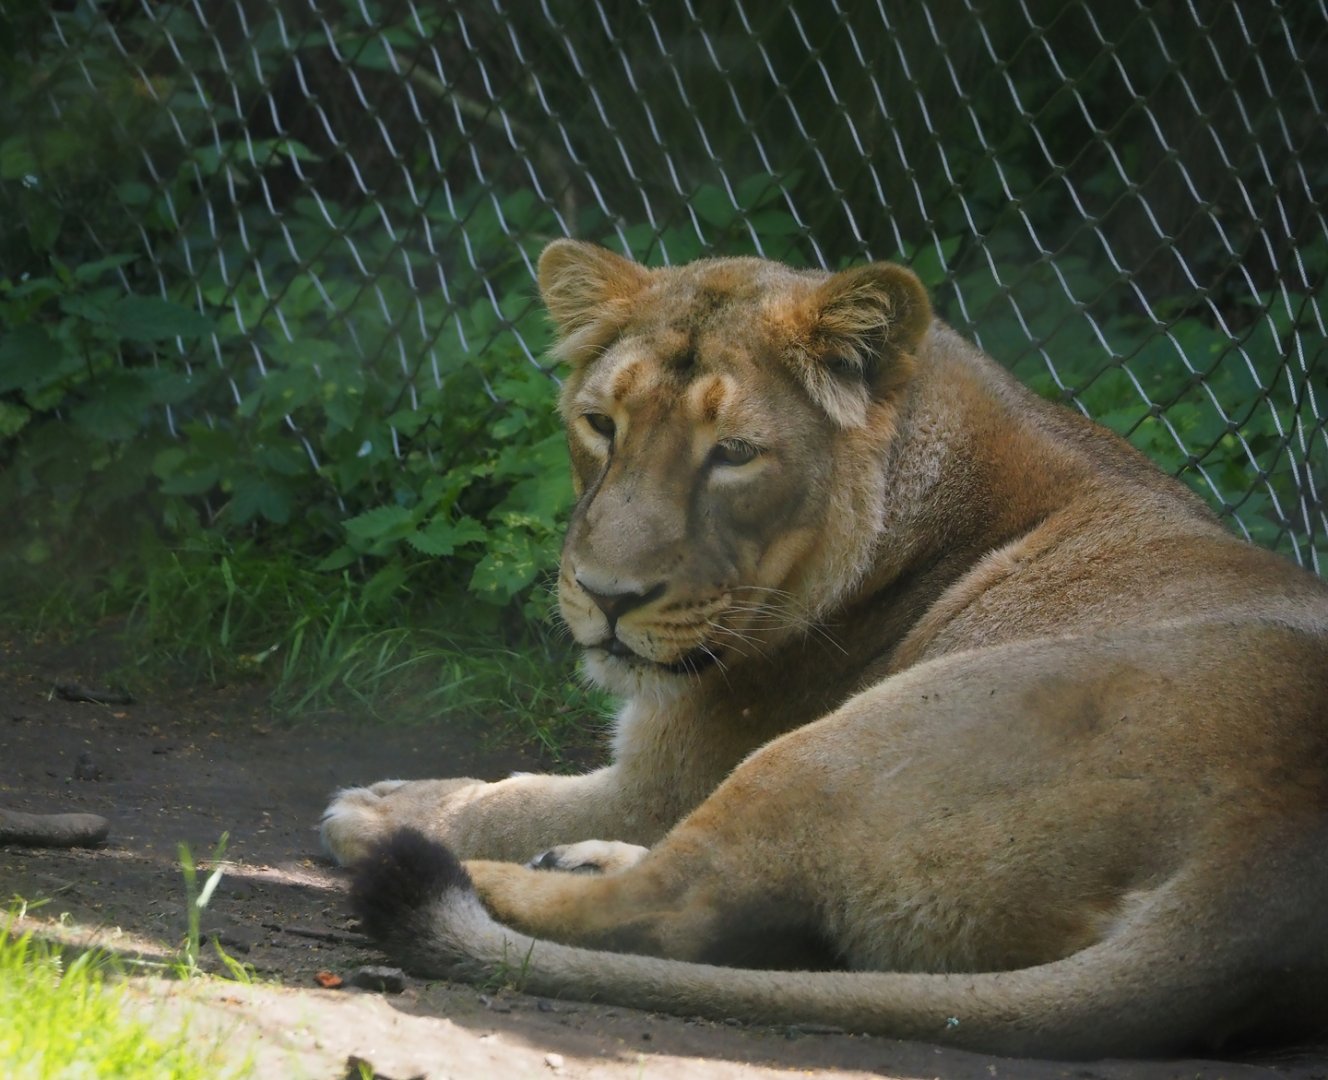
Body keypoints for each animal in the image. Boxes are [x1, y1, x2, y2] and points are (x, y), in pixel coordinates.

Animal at [323, 240, 1328, 1058]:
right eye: (602, 424)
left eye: (733, 452)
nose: (607, 599)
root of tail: (1264, 869)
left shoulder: (667, 779)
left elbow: (512, 798)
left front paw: (382, 806)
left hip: (847, 743)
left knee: (671, 909)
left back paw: (449, 865)